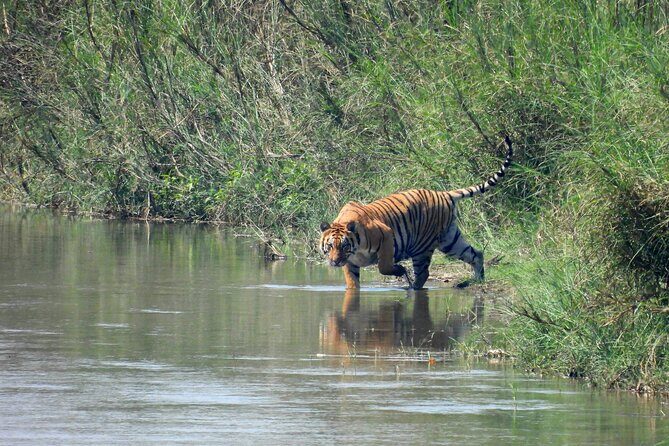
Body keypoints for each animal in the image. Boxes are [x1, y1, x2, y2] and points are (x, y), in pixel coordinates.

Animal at [320, 136, 513, 290]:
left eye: (344, 246)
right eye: (330, 246)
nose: (335, 261)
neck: (355, 249)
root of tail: (444, 193)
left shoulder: (386, 235)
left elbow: (383, 266)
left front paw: (399, 270)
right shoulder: (351, 263)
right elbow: (352, 284)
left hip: (422, 247)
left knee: (423, 273)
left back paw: (411, 289)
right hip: (450, 240)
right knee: (476, 254)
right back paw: (477, 280)